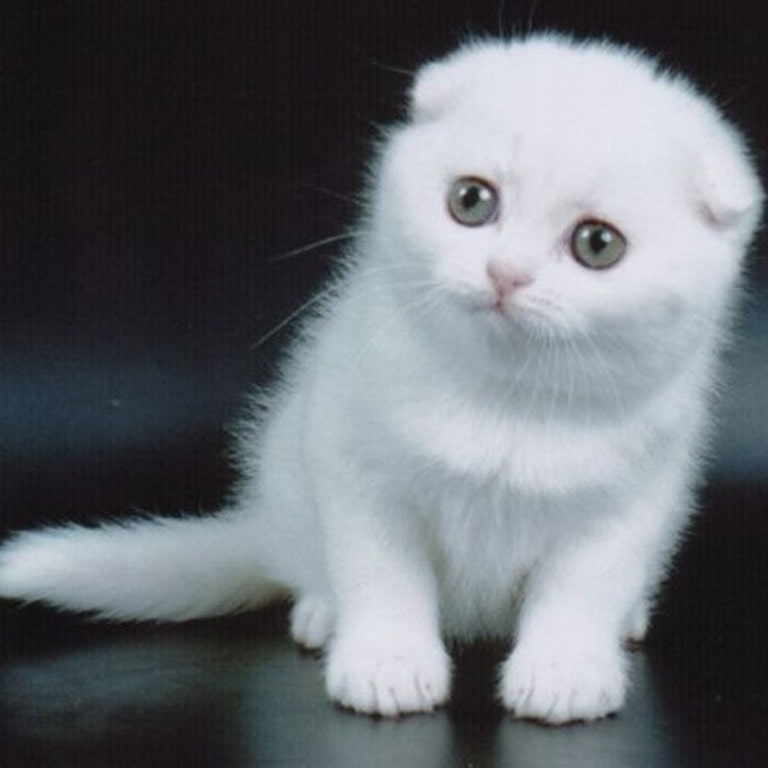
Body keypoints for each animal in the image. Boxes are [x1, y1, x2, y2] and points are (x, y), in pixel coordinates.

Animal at [0, 33, 760, 724]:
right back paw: (319, 611)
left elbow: (582, 589)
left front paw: (563, 673)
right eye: (471, 201)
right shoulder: (359, 464)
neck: (500, 399)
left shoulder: (627, 502)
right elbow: (382, 573)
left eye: (598, 244)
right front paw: (387, 666)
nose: (505, 273)